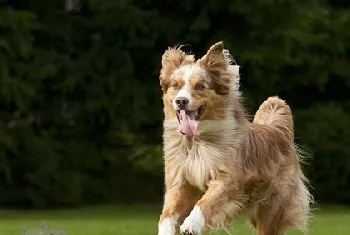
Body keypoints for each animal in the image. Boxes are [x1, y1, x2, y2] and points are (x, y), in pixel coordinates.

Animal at [157, 41, 310, 235]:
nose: (181, 101)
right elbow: (167, 214)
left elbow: (205, 202)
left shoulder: (228, 180)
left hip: (272, 206)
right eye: (176, 86)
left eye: (200, 86)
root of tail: (277, 130)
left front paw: (191, 224)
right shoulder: (180, 182)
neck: (197, 141)